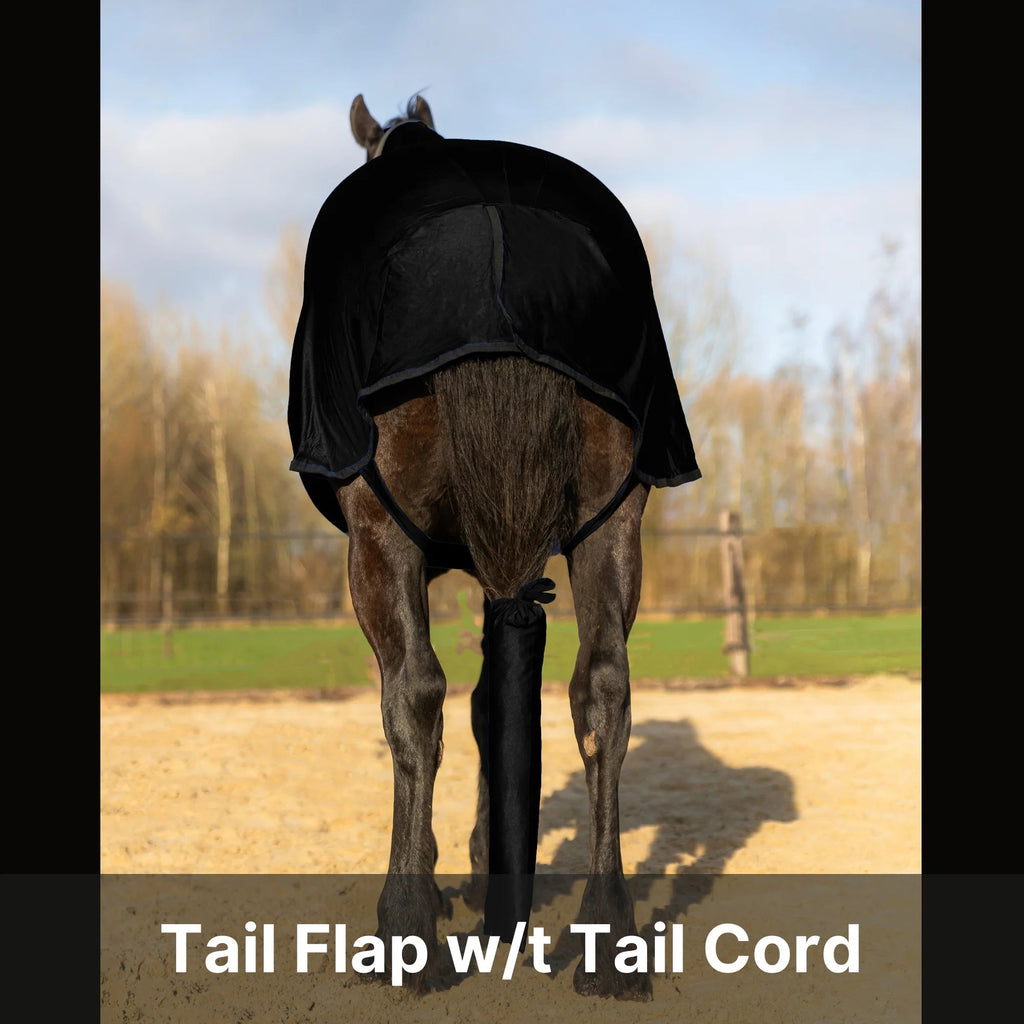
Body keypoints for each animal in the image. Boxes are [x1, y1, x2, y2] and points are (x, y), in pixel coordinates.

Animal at [288, 93, 701, 999]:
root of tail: (501, 243)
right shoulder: (509, 565)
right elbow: (492, 705)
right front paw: (488, 871)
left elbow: (433, 705)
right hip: (612, 524)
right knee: (603, 690)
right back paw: (608, 939)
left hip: (379, 540)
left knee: (412, 695)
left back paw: (404, 930)